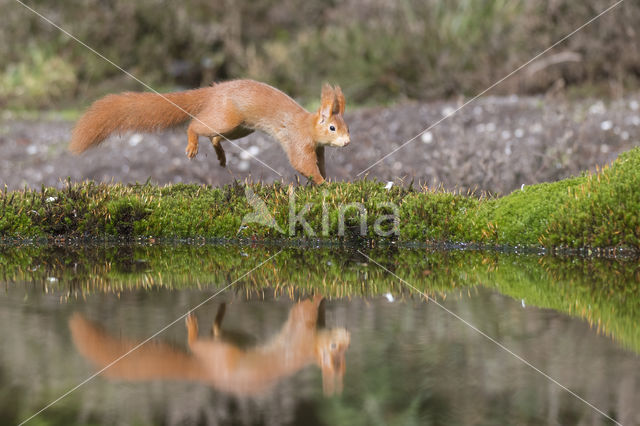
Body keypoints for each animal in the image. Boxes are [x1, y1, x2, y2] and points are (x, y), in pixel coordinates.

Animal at [70, 80, 350, 183]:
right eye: (332, 127)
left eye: (347, 127)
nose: (347, 142)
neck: (307, 124)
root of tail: (214, 91)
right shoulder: (297, 141)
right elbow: (303, 164)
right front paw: (323, 184)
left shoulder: (318, 148)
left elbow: (319, 163)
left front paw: (327, 179)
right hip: (227, 118)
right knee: (196, 125)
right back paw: (193, 145)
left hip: (239, 129)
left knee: (214, 137)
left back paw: (221, 156)